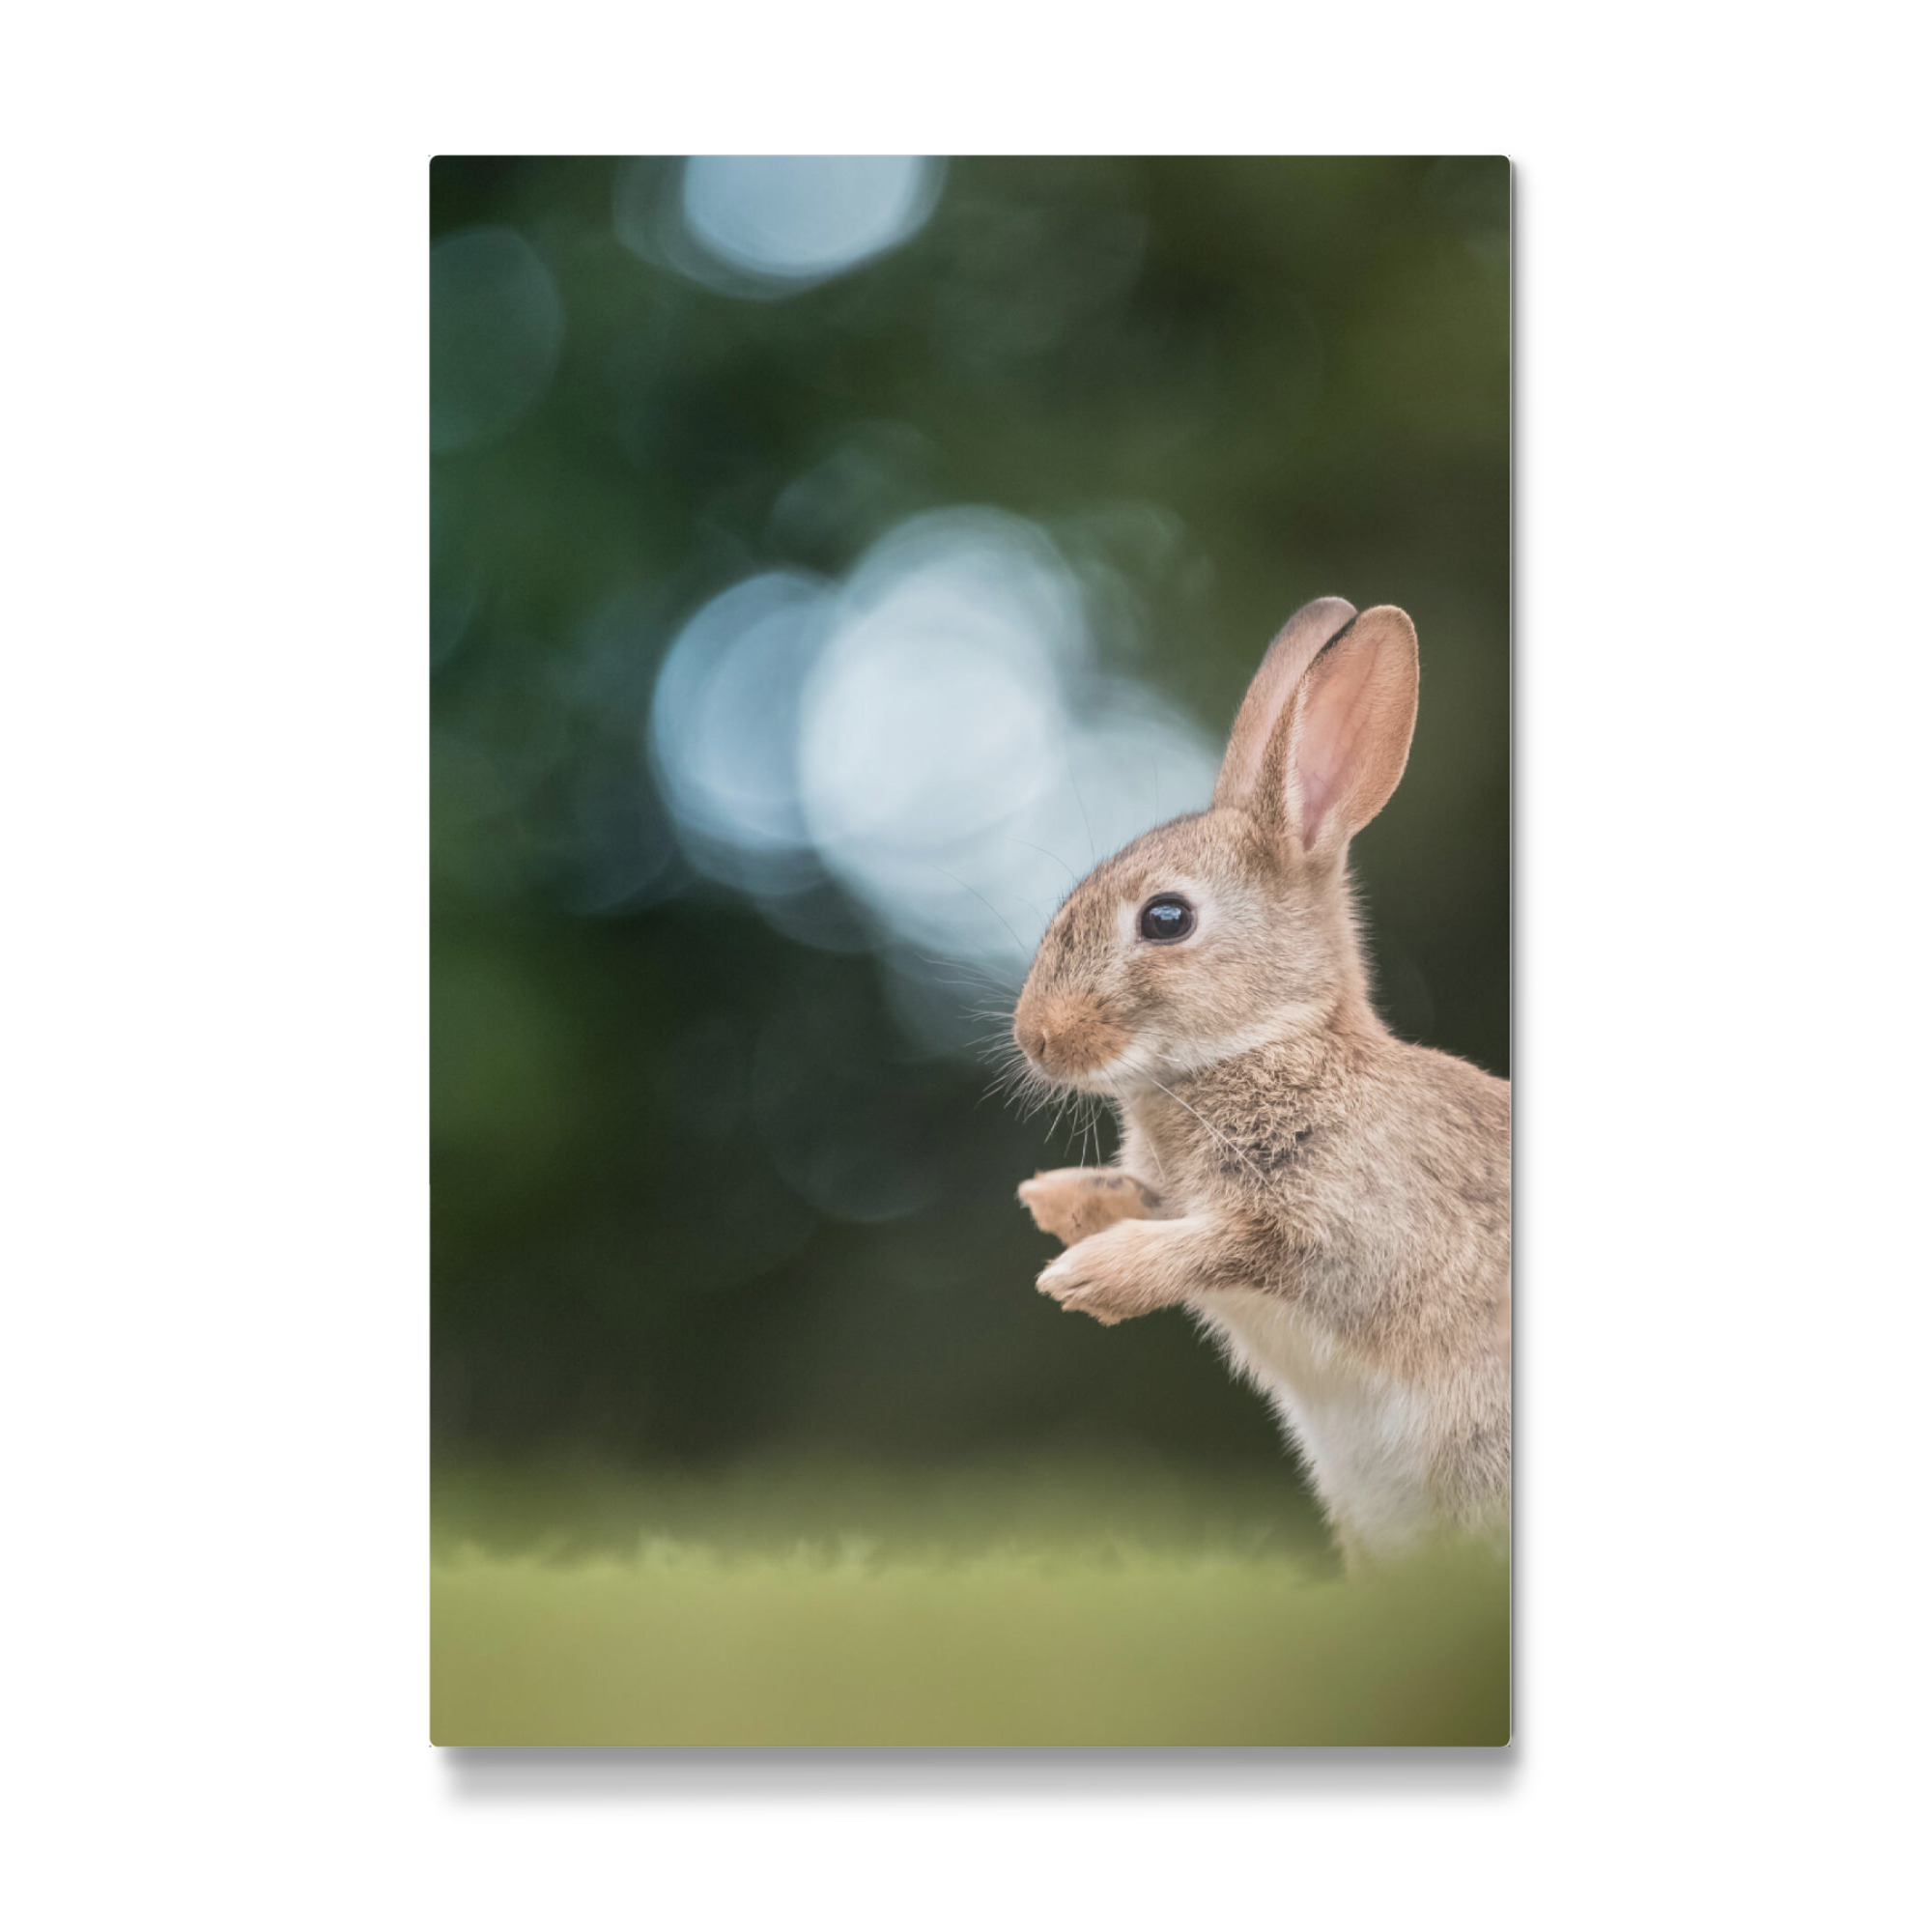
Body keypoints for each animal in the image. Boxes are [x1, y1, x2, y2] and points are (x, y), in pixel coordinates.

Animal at [1011, 598, 1509, 1570]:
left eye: (1166, 918)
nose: (1034, 1039)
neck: (1267, 1046)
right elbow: (1149, 1204)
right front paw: (1054, 1200)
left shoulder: (1334, 1227)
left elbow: (1222, 1246)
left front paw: (1084, 1278)